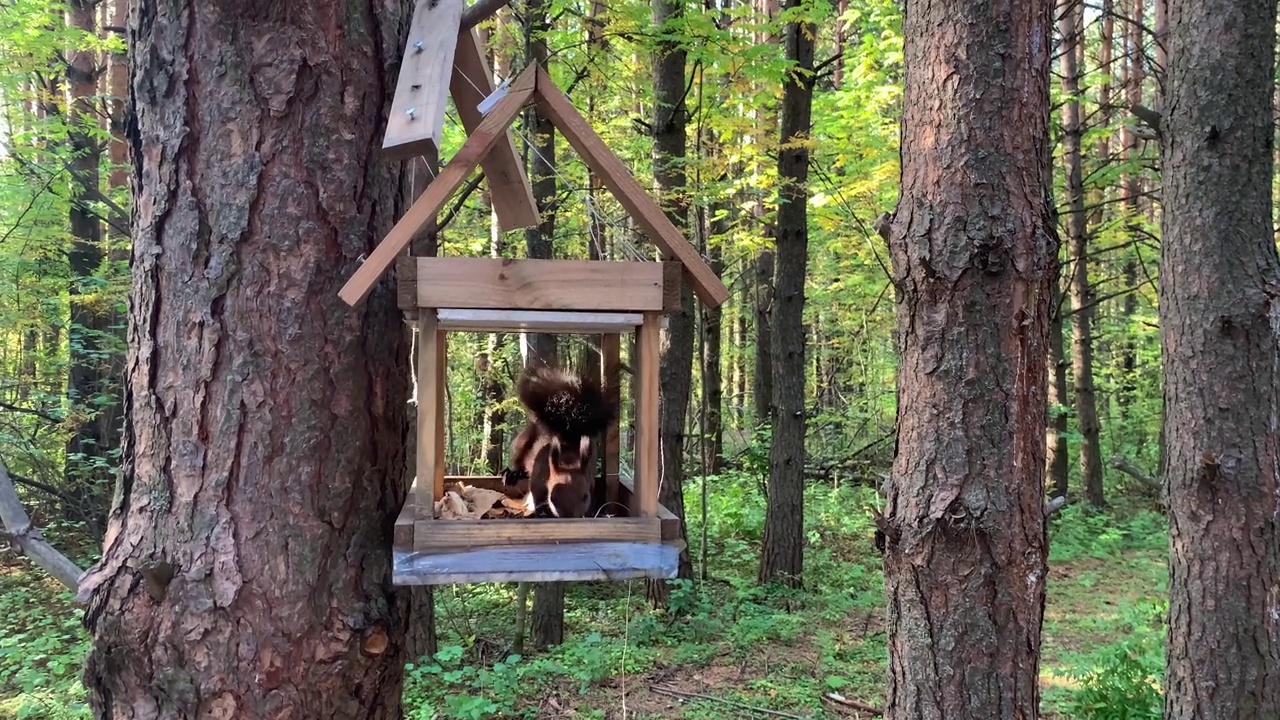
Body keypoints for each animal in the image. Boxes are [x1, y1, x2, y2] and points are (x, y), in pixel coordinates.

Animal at [499, 363, 614, 515]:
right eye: (552, 497)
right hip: (521, 442)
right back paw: (512, 473)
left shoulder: (589, 478)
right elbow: (537, 498)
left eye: (585, 496)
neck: (568, 460)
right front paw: (541, 514)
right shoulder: (538, 478)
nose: (569, 516)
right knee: (517, 461)